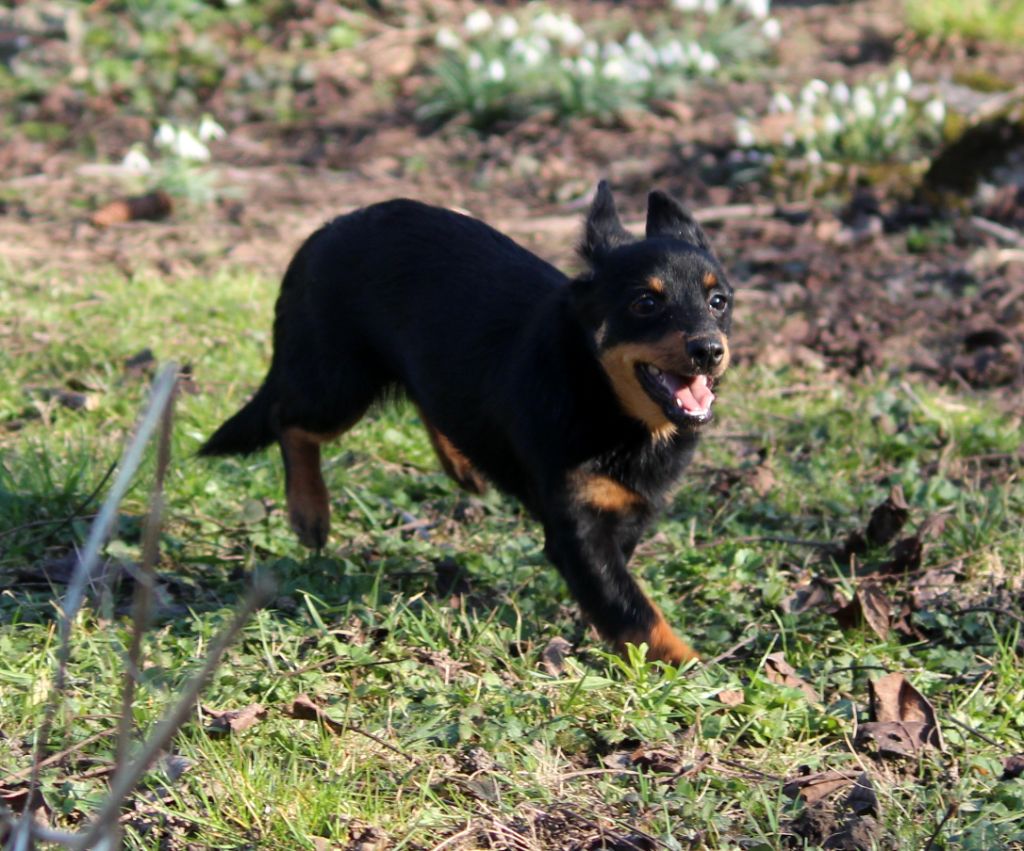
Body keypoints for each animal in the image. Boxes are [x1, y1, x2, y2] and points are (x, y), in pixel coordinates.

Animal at [199, 183, 733, 663]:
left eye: (719, 301)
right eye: (645, 303)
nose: (709, 350)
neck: (601, 393)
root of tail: (324, 231)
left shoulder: (628, 512)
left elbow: (618, 594)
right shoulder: (577, 530)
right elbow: (633, 609)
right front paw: (690, 669)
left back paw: (462, 464)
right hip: (338, 387)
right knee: (288, 421)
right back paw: (309, 512)